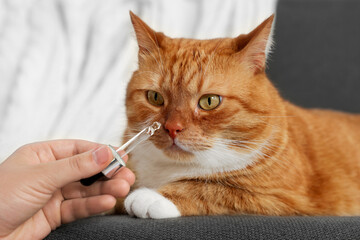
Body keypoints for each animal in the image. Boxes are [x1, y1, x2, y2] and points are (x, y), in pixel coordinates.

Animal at [120, 11, 360, 218]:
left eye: (209, 101)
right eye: (155, 98)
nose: (172, 128)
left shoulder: (280, 197)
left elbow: (209, 188)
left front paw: (152, 196)